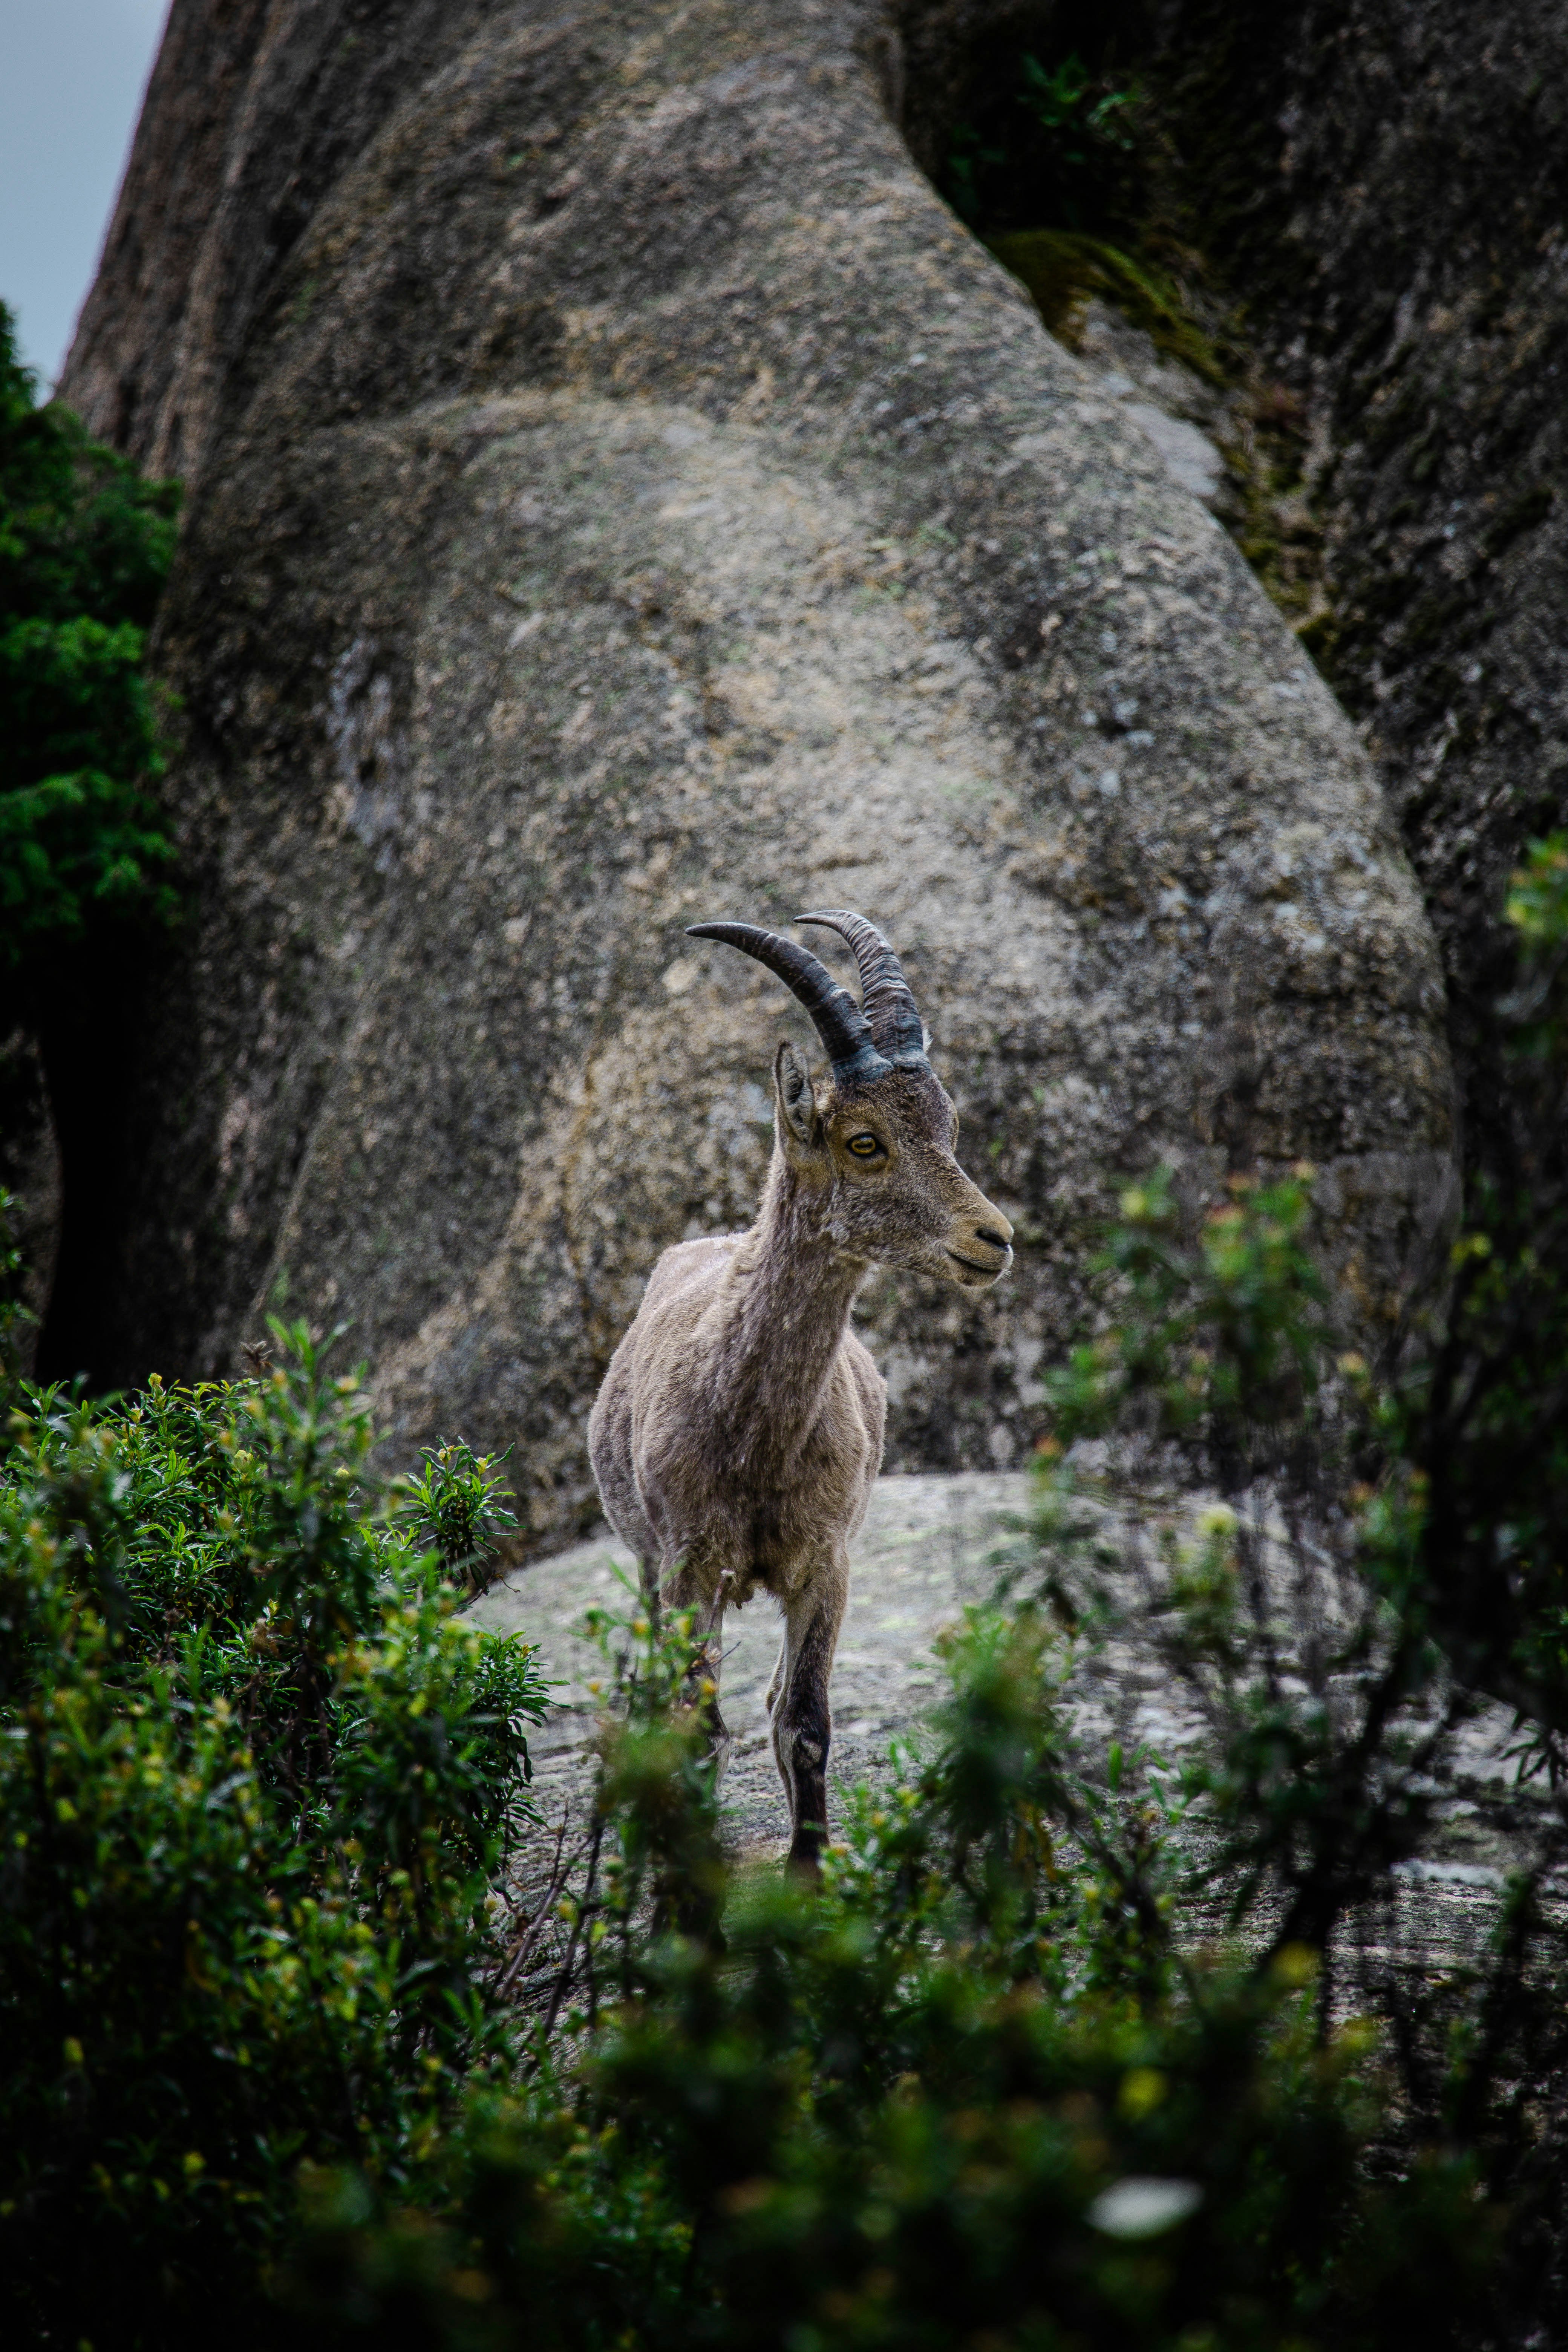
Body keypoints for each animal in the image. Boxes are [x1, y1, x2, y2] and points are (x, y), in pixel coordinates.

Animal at [588, 910, 1013, 1868]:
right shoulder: (688, 1566)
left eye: (948, 1123)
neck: (754, 1432)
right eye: (865, 1141)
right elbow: (697, 1728)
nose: (994, 1238)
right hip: (644, 1567)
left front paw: (809, 1869)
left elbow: (805, 1721)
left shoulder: (827, 1562)